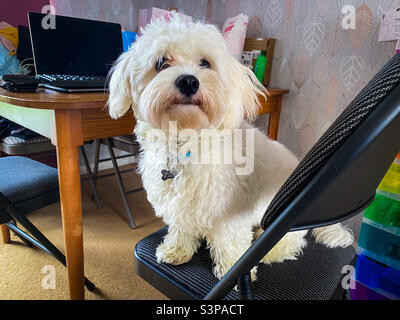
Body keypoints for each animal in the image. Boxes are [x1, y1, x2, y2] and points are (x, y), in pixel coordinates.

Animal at [107, 13, 354, 280]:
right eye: (162, 62)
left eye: (205, 63)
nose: (188, 81)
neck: (186, 144)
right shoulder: (181, 204)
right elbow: (182, 227)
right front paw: (176, 250)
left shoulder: (231, 212)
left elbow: (229, 242)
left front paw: (231, 270)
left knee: (291, 242)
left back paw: (270, 252)